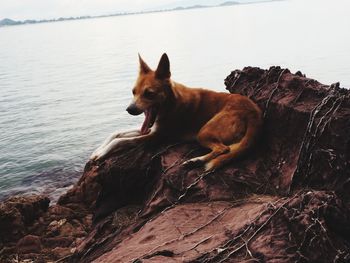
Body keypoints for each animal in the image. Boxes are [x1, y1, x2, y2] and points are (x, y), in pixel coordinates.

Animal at [91, 53, 262, 172]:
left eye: (149, 94)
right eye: (133, 92)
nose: (129, 109)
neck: (171, 103)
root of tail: (254, 112)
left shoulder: (155, 137)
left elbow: (121, 141)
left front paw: (103, 152)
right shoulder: (149, 129)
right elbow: (116, 133)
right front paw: (97, 151)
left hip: (204, 131)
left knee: (223, 149)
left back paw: (197, 160)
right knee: (225, 149)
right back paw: (196, 161)